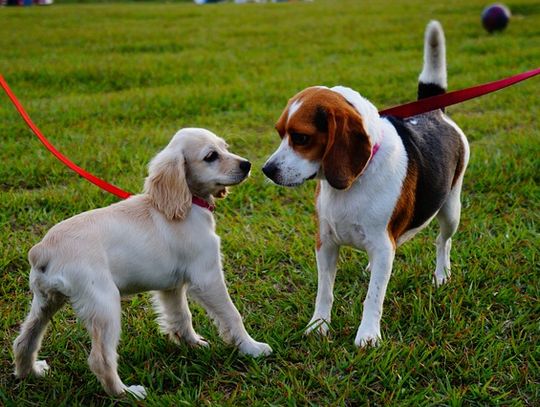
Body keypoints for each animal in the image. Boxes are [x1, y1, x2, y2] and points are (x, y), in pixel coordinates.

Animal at [12, 129, 272, 400]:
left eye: (225, 147)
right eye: (211, 156)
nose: (247, 165)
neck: (187, 204)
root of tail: (43, 249)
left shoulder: (171, 287)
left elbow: (181, 316)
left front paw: (191, 343)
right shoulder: (207, 277)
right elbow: (232, 315)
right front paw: (251, 347)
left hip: (46, 301)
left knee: (24, 341)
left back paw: (31, 373)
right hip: (104, 304)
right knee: (100, 359)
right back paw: (127, 393)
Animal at [262, 21, 468, 348]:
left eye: (302, 138)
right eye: (280, 133)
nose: (267, 170)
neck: (352, 182)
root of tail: (433, 112)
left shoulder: (383, 246)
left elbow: (374, 297)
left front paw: (368, 335)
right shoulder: (326, 242)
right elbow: (324, 291)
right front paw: (319, 325)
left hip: (451, 210)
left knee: (442, 241)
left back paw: (441, 274)